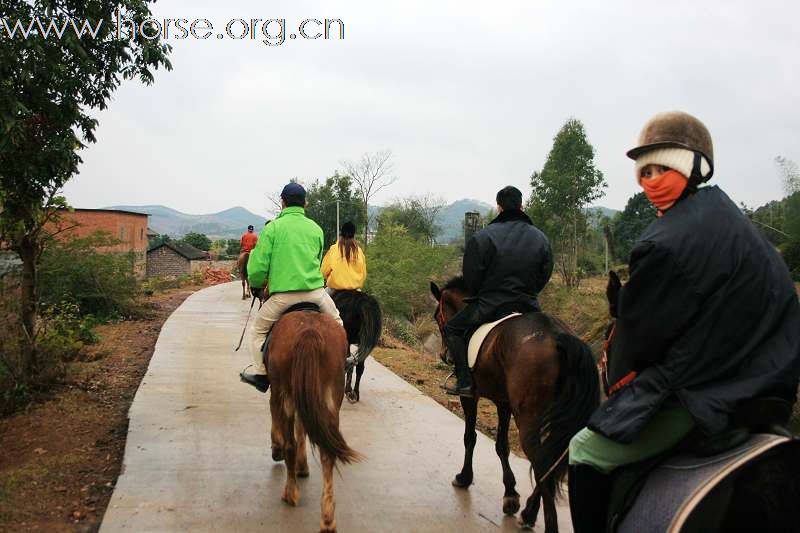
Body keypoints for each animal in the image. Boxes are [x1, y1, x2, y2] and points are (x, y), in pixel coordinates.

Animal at [268, 310, 360, 528]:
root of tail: (309, 332)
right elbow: (304, 427)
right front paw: (302, 467)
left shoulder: (277, 391)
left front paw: (277, 450)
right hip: (331, 395)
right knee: (328, 451)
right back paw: (327, 518)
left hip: (286, 391)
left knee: (290, 444)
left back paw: (290, 493)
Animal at [432, 278, 600, 532]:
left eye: (437, 316)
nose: (445, 356)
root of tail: (557, 336)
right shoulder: (503, 402)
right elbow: (502, 445)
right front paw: (510, 494)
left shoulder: (470, 397)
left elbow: (470, 437)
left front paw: (464, 477)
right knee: (550, 460)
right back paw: (529, 510)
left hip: (529, 418)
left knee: (542, 462)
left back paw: (536, 518)